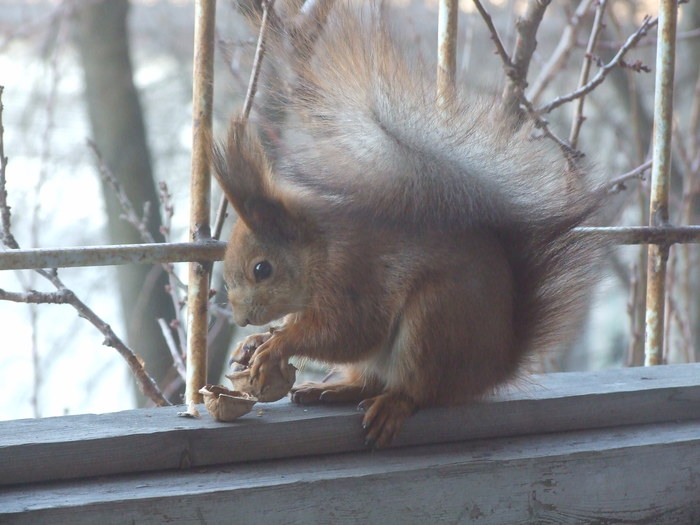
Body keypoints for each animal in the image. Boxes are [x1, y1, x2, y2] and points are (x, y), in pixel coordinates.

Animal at [211, 2, 604, 448]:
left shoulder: (353, 276)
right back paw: (334, 388)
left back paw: (392, 405)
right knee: (368, 380)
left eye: (262, 269)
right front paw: (256, 341)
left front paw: (277, 344)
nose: (241, 319)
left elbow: (350, 330)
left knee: (419, 390)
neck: (319, 248)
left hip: (437, 320)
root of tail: (494, 367)